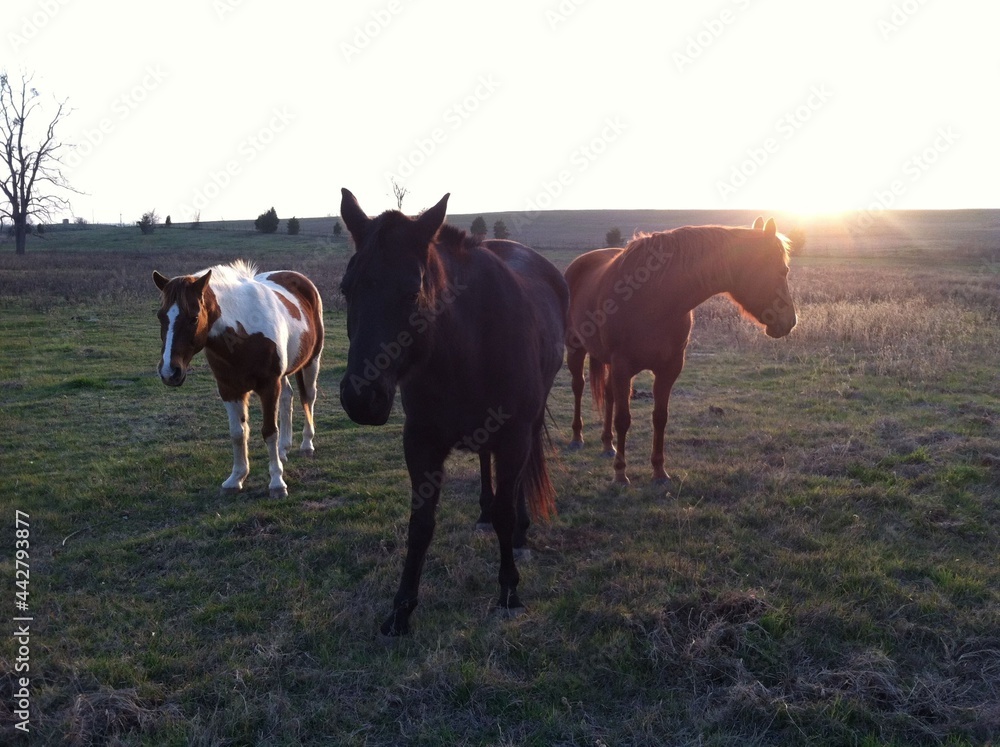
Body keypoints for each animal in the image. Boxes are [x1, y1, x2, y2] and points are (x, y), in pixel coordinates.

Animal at [152, 260, 324, 500]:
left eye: (194, 317)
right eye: (161, 316)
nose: (170, 371)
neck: (243, 333)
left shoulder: (268, 386)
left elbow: (269, 431)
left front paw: (277, 483)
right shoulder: (229, 389)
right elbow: (237, 433)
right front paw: (236, 478)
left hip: (311, 362)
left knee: (308, 398)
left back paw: (307, 444)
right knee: (288, 397)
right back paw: (283, 449)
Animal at [338, 187, 568, 636]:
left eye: (412, 292)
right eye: (345, 289)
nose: (361, 397)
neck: (466, 344)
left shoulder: (513, 435)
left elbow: (506, 510)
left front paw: (509, 592)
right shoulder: (421, 442)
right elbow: (421, 524)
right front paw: (401, 610)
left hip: (527, 427)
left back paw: (519, 535)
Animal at [572, 216, 796, 488]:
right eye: (783, 270)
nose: (791, 321)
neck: (654, 299)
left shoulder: (669, 368)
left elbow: (660, 417)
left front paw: (659, 471)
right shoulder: (623, 367)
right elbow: (623, 419)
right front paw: (620, 474)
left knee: (607, 394)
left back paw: (607, 445)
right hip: (575, 348)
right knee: (578, 386)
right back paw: (577, 437)